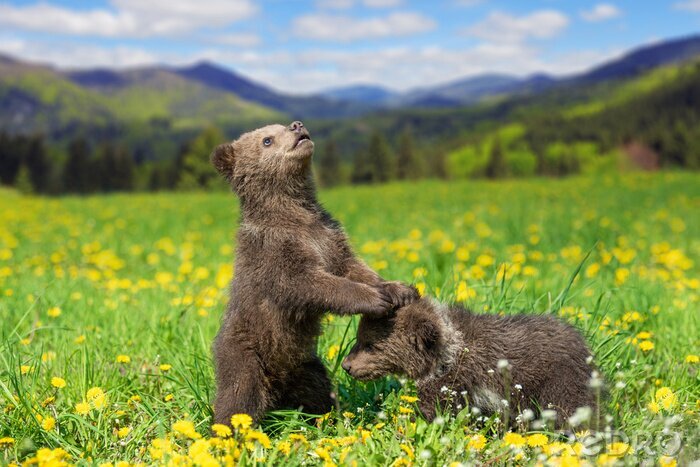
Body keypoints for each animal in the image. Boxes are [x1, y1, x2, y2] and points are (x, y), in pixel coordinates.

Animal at [210, 121, 418, 426]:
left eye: (282, 126)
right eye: (267, 139)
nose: (297, 126)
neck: (295, 213)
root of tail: (278, 386)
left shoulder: (329, 236)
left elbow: (352, 266)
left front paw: (398, 289)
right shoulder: (274, 251)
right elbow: (305, 283)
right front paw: (374, 299)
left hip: (306, 365)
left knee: (319, 391)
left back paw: (326, 418)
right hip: (246, 352)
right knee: (238, 397)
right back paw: (228, 432)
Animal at [342, 297, 599, 429]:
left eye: (370, 345)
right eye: (359, 338)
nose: (346, 365)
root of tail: (585, 347)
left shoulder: (452, 383)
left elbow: (430, 412)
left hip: (559, 382)